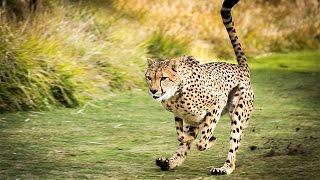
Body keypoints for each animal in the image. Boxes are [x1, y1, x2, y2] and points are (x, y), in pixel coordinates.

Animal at [144, 0, 252, 175]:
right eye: (149, 77)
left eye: (163, 78)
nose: (153, 90)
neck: (175, 94)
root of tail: (240, 67)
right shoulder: (185, 116)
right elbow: (182, 136)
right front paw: (191, 139)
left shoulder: (218, 101)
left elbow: (203, 139)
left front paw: (209, 140)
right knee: (185, 144)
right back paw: (168, 163)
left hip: (238, 113)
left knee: (233, 144)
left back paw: (225, 168)